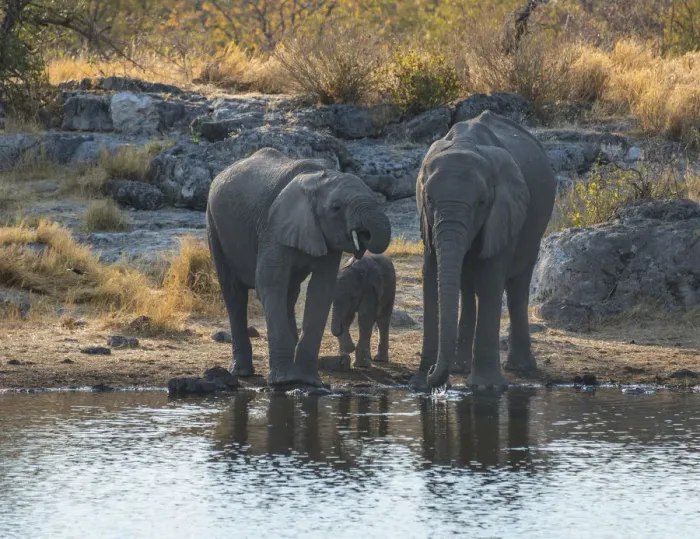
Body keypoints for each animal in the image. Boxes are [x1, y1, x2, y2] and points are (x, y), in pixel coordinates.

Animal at [206, 148, 391, 387]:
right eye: (336, 208)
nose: (363, 237)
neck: (318, 180)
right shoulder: (272, 227)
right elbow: (269, 283)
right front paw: (284, 382)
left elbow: (321, 290)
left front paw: (308, 381)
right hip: (214, 225)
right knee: (234, 293)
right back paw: (243, 372)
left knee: (290, 294)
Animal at [409, 111, 556, 390]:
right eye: (429, 200)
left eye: (481, 202)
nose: (434, 372)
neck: (463, 144)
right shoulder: (427, 222)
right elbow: (431, 275)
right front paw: (422, 382)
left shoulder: (505, 211)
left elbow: (490, 278)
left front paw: (485, 387)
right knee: (467, 287)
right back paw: (460, 366)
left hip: (535, 226)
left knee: (517, 285)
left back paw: (519, 368)